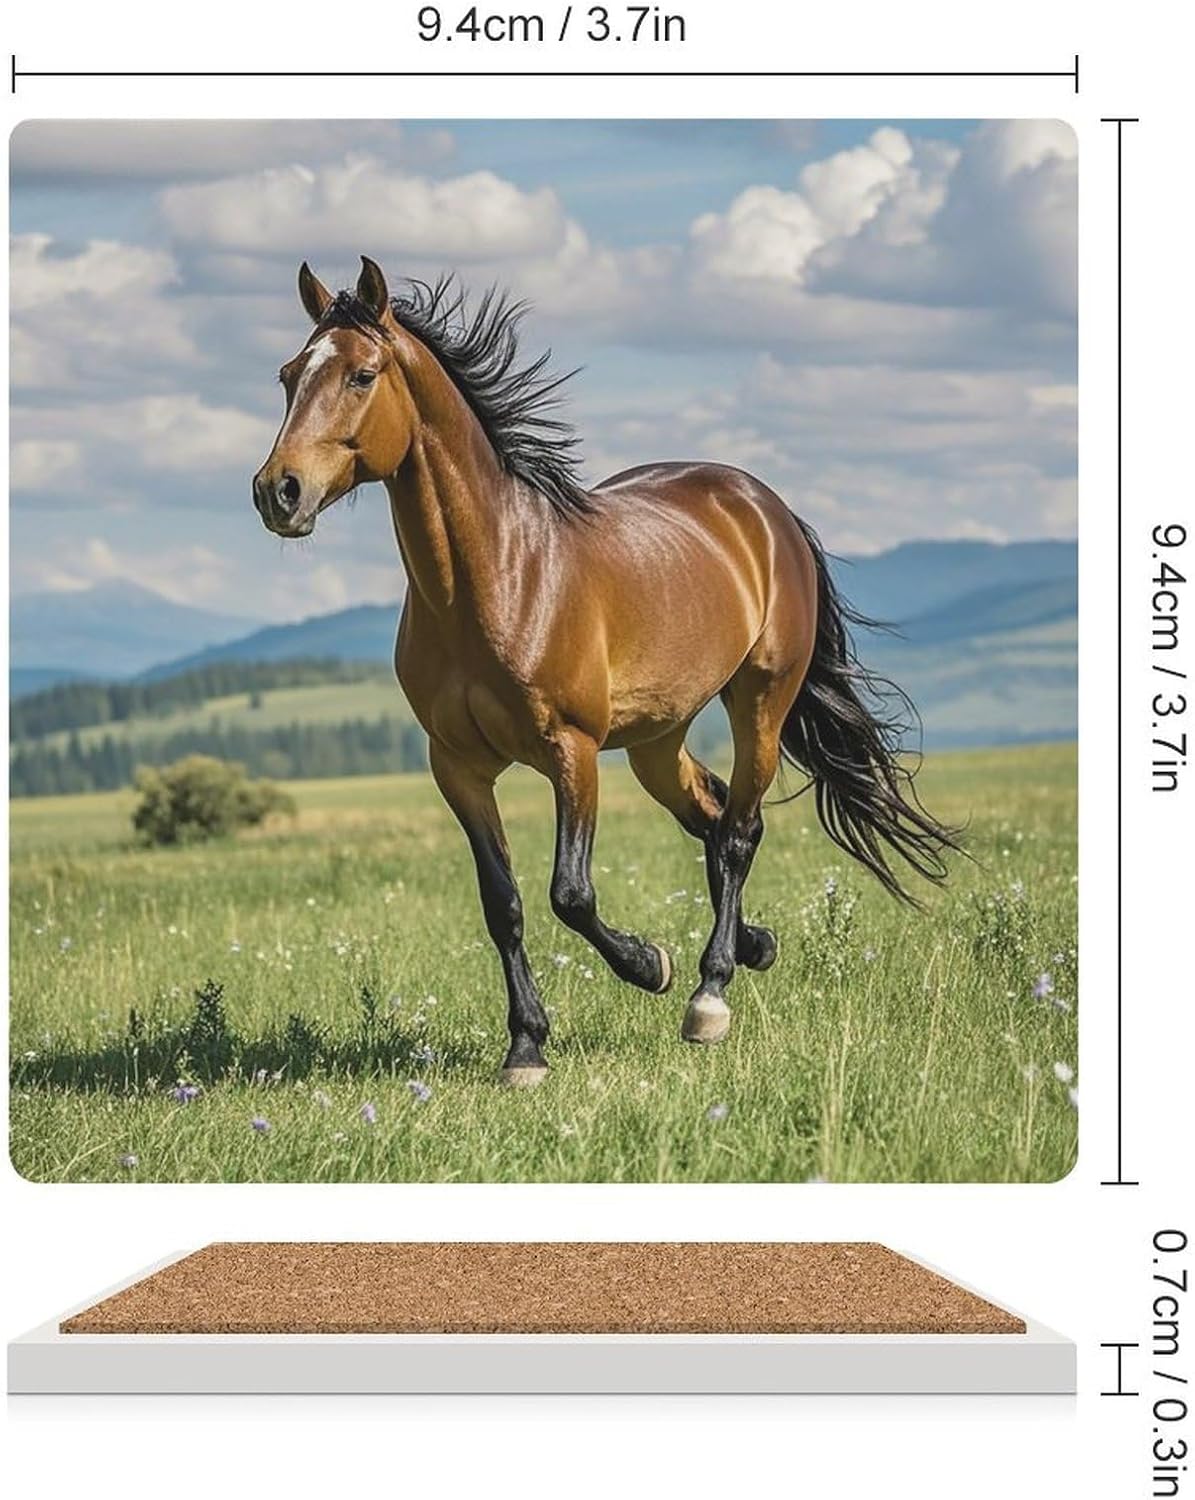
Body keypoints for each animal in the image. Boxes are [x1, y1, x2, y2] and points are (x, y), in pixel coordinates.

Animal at [252, 256, 962, 1087]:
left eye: (362, 374)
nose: (278, 492)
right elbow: (504, 904)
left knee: (739, 829)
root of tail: (763, 506)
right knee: (712, 814)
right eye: (288, 375)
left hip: (759, 698)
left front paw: (648, 965)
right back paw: (753, 945)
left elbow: (570, 894)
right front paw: (526, 1048)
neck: (496, 577)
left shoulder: (573, 751)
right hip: (658, 737)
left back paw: (708, 993)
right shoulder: (457, 766)